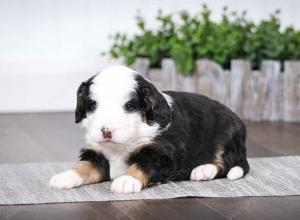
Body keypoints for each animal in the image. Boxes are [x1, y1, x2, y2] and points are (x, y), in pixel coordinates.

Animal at [49, 66, 250, 193]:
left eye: (129, 105)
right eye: (93, 104)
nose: (106, 131)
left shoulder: (161, 154)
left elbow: (142, 164)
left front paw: (127, 180)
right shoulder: (97, 153)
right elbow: (83, 166)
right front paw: (65, 176)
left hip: (225, 138)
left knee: (226, 163)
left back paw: (203, 170)